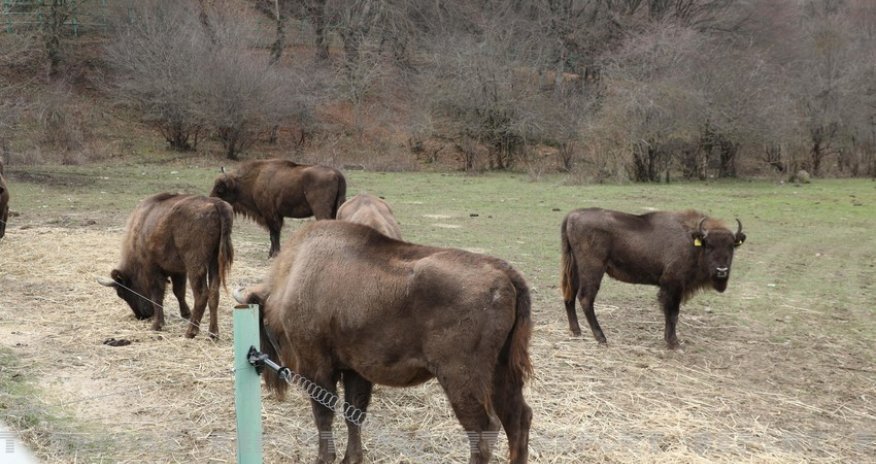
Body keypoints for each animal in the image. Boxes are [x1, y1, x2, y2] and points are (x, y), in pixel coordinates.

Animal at [99, 193, 234, 339]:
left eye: (122, 293)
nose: (142, 316)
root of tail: (217, 204)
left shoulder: (152, 268)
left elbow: (157, 294)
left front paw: (157, 325)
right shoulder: (178, 271)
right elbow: (178, 291)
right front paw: (186, 313)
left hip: (195, 266)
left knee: (202, 294)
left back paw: (190, 332)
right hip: (215, 262)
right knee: (214, 293)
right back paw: (213, 334)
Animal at [209, 159, 346, 257]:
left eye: (220, 188)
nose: (211, 200)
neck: (255, 179)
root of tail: (337, 173)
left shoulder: (270, 214)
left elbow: (274, 233)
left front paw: (274, 254)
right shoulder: (276, 215)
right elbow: (275, 234)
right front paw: (272, 253)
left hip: (321, 210)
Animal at [234, 220, 533, 464]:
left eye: (261, 319)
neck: (292, 276)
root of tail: (504, 274)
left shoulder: (317, 368)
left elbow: (324, 414)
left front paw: (324, 458)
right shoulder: (354, 370)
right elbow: (353, 413)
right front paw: (351, 458)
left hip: (461, 379)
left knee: (484, 429)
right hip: (501, 372)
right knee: (519, 418)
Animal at [561, 208, 745, 348]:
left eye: (731, 246)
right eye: (709, 246)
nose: (721, 270)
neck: (693, 240)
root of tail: (572, 215)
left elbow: (672, 314)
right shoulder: (673, 286)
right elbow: (672, 314)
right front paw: (673, 343)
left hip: (574, 268)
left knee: (570, 295)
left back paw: (576, 331)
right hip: (593, 270)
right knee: (585, 298)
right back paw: (601, 338)